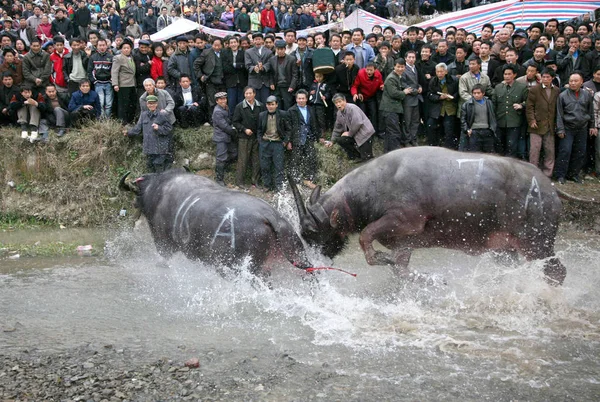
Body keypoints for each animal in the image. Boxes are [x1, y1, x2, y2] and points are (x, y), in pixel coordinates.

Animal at [290, 146, 568, 284]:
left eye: (312, 231)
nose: (315, 259)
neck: (382, 181)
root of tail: (548, 186)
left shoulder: (404, 221)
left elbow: (365, 238)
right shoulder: (404, 242)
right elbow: (400, 269)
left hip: (537, 243)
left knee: (557, 272)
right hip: (506, 250)